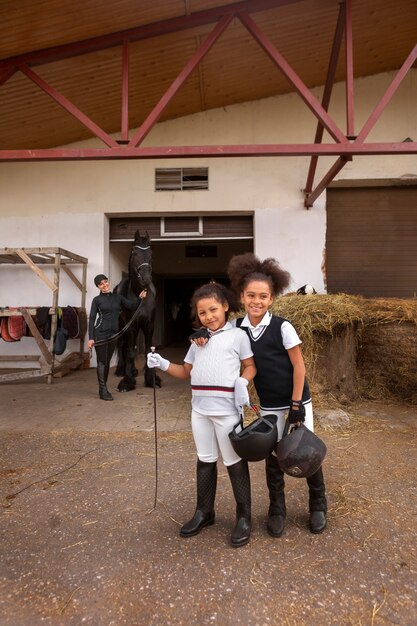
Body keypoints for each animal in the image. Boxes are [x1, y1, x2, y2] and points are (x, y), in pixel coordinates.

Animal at [114, 230, 161, 390]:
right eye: (135, 253)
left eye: (151, 253)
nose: (146, 278)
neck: (139, 296)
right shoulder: (131, 327)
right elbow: (130, 352)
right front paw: (127, 381)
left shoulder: (149, 326)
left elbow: (147, 351)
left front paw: (151, 379)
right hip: (121, 327)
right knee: (122, 345)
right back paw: (121, 370)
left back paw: (133, 370)